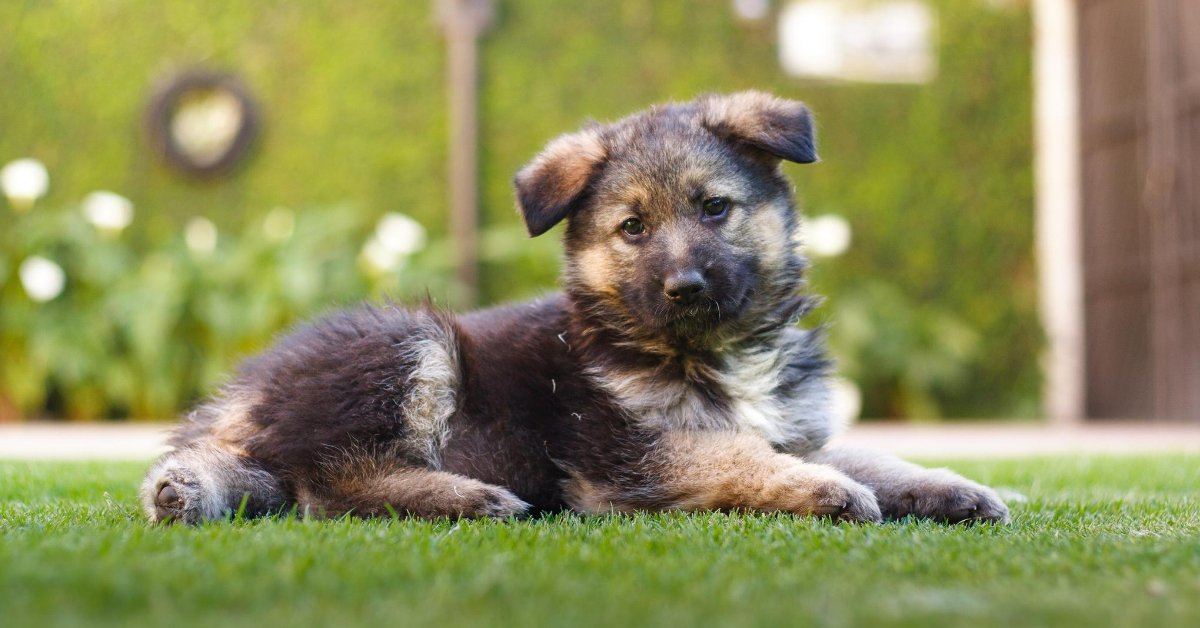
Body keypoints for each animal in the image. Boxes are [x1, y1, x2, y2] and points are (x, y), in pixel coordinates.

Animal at [145, 90, 1017, 525]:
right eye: (633, 228)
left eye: (714, 209)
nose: (685, 287)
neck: (708, 352)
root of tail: (240, 396)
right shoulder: (626, 452)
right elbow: (736, 455)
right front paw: (822, 491)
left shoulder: (792, 425)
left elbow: (866, 455)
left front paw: (951, 486)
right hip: (409, 342)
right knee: (329, 485)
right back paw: (470, 498)